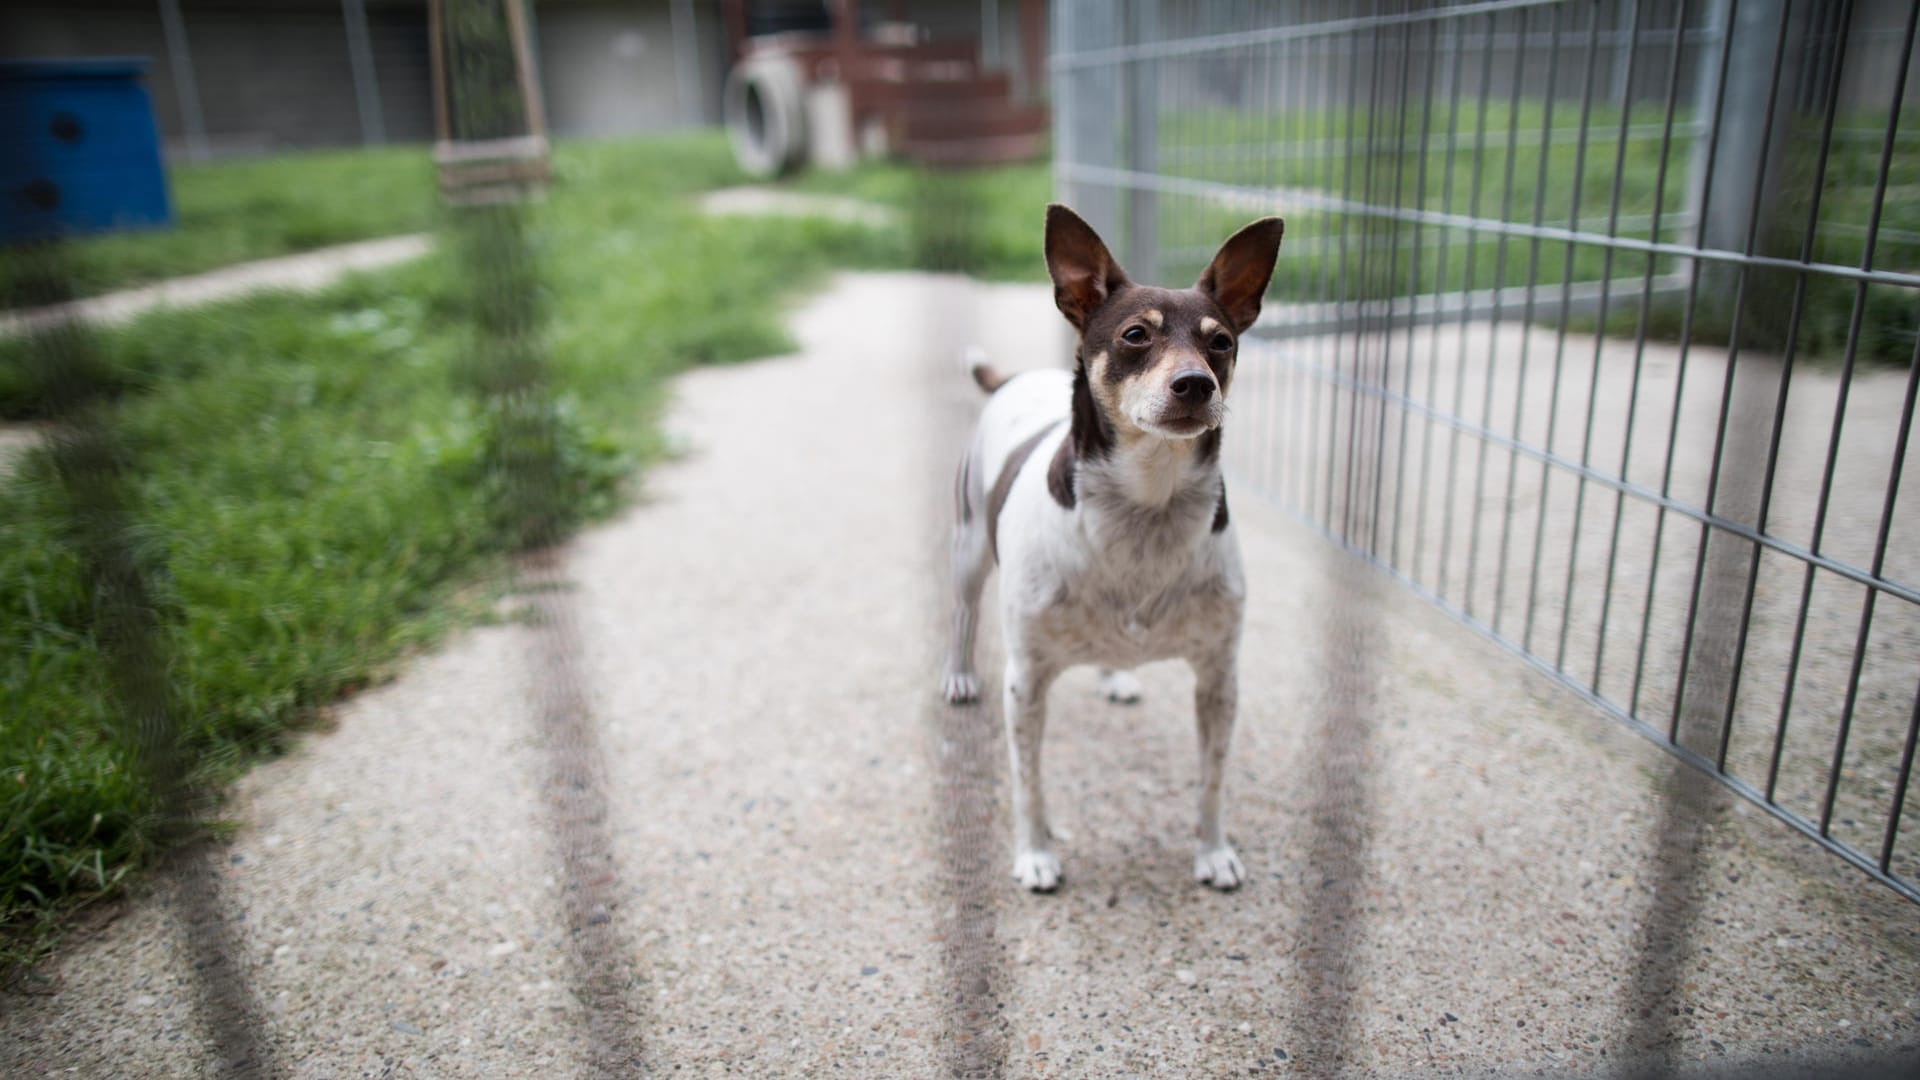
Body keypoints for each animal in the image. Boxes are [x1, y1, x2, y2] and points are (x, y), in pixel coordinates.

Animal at [944, 201, 1290, 891]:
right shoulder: (1025, 684)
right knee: (964, 613)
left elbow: (1212, 781)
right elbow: (1028, 783)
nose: (1196, 384)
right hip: (968, 548)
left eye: (1221, 342)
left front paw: (1213, 852)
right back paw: (960, 675)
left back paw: (1115, 675)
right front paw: (1036, 855)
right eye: (1136, 335)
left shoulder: (1220, 680)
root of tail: (1016, 377)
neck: (1145, 510)